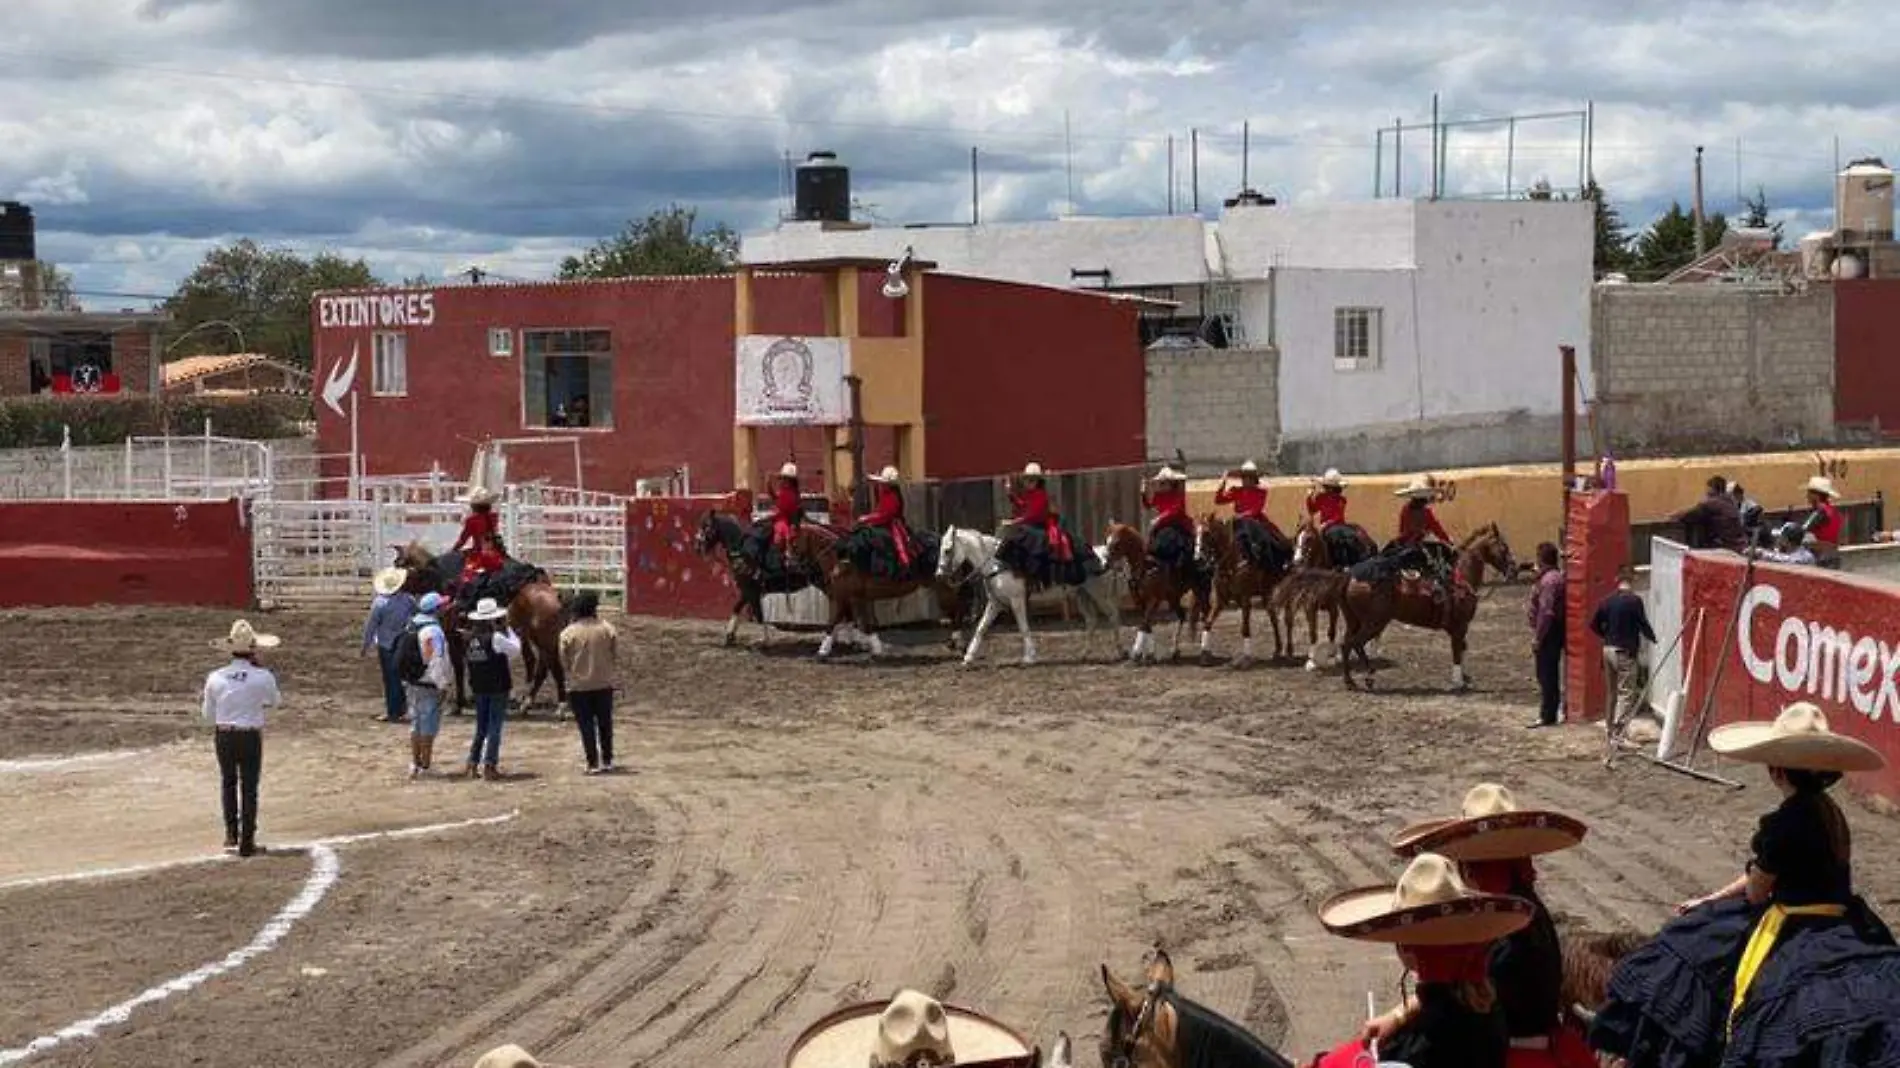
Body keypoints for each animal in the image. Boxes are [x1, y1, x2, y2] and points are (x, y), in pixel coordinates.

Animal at [938, 524, 1124, 665]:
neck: (998, 564)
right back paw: (1084, 653)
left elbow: (1023, 627)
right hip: (1083, 596)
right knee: (1092, 621)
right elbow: (981, 627)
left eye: (947, 550)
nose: (939, 575)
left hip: (1100, 595)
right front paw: (968, 657)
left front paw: (1029, 657)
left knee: (1114, 616)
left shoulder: (1016, 600)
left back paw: (1121, 651)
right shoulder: (996, 603)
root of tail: (1104, 556)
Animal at [1109, 520, 1208, 661]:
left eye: (1117, 542)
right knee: (1182, 615)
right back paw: (1175, 650)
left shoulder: (1153, 600)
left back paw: (1204, 651)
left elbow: (1144, 623)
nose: (1106, 562)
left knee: (1205, 616)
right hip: (1173, 597)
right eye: (1107, 540)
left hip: (1201, 590)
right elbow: (1147, 624)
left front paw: (1136, 652)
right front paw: (1149, 653)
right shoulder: (1139, 601)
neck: (1145, 568)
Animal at [1185, 513, 1292, 661]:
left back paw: (1288, 650)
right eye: (1194, 533)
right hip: (1266, 593)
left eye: (1207, 533)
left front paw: (1246, 657)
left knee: (1287, 619)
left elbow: (1245, 627)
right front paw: (1205, 653)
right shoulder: (1220, 600)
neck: (1232, 562)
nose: (1198, 558)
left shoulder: (1245, 599)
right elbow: (1208, 623)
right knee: (1273, 617)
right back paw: (1278, 649)